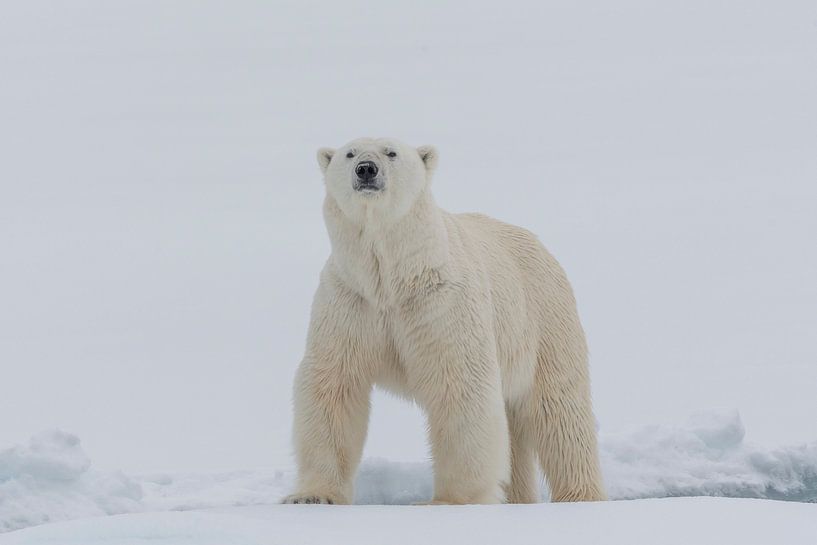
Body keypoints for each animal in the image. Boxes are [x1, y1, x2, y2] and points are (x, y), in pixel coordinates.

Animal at [282, 138, 604, 504]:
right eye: (349, 153)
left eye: (391, 152)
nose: (366, 169)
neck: (394, 276)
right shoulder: (350, 300)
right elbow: (332, 384)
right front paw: (311, 496)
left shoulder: (441, 302)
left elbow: (459, 382)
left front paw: (452, 500)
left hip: (542, 320)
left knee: (560, 413)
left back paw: (579, 495)